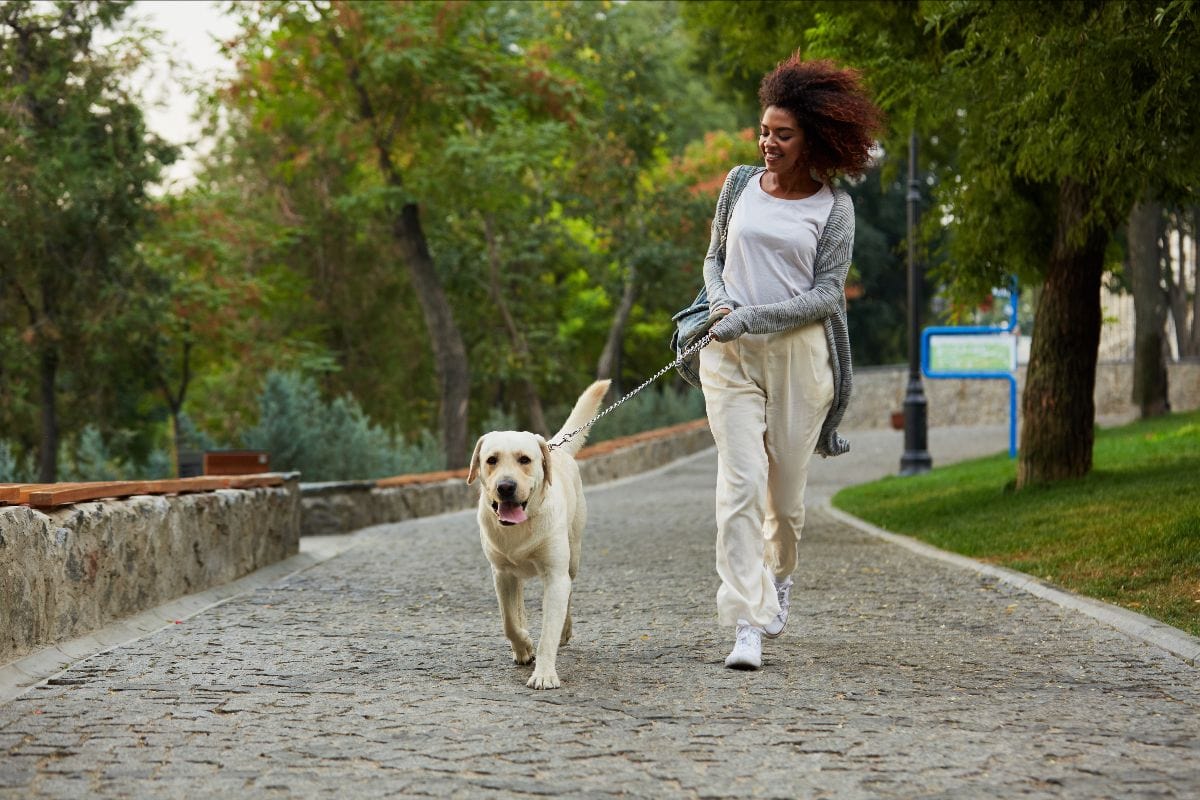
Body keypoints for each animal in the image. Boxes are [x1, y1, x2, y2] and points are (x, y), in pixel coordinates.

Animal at [465, 381, 609, 690]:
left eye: (525, 459)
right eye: (491, 460)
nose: (506, 487)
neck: (521, 527)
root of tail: (555, 447)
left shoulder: (555, 576)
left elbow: (548, 633)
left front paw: (544, 674)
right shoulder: (501, 573)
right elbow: (508, 622)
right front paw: (523, 646)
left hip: (573, 556)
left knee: (569, 593)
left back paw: (565, 630)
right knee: (517, 605)